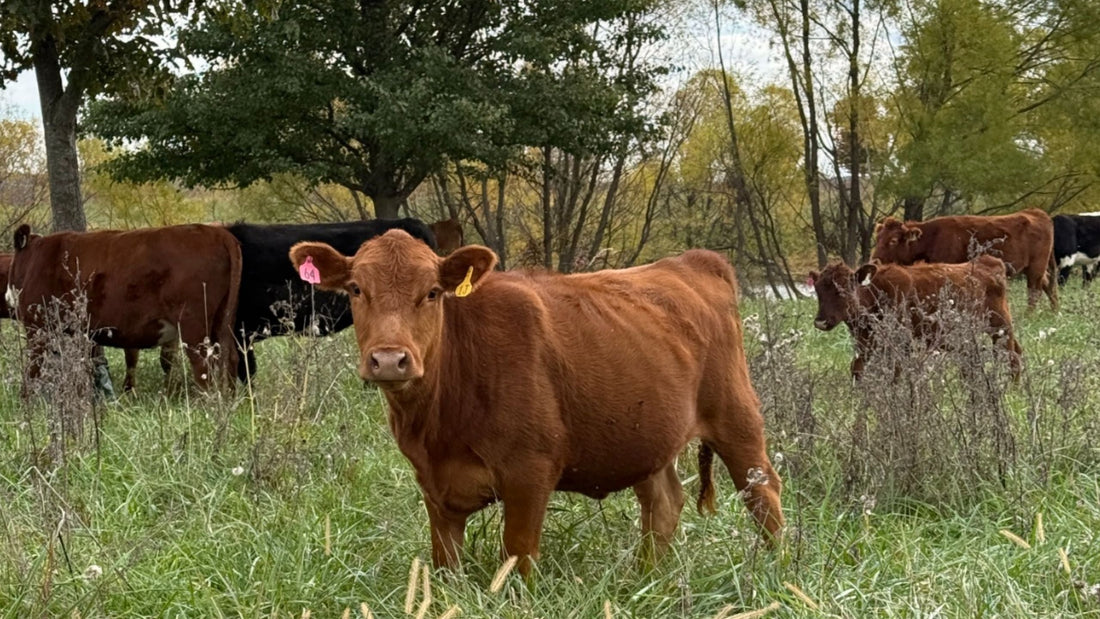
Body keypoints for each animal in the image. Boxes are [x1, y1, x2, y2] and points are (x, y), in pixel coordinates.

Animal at [7, 224, 242, 393]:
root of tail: (218, 233)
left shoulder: (38, 328)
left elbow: (33, 369)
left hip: (193, 326)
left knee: (203, 367)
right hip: (222, 321)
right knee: (230, 360)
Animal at [288, 230, 784, 576]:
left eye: (431, 292)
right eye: (356, 289)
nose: (390, 359)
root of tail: (693, 261)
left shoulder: (530, 473)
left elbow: (518, 557)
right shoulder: (433, 486)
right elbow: (445, 567)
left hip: (737, 416)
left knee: (764, 496)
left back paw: (778, 572)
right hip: (648, 436)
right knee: (663, 504)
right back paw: (646, 580)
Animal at [810, 256, 1023, 380]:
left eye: (842, 290)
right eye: (818, 290)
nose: (821, 321)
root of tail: (988, 261)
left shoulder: (900, 343)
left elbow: (896, 373)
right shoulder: (865, 343)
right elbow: (857, 368)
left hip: (1001, 327)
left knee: (1012, 357)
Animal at [871, 208, 1057, 312]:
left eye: (893, 240)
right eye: (877, 238)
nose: (874, 260)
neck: (932, 236)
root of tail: (1036, 212)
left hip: (1035, 269)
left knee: (1035, 291)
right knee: (1048, 285)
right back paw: (1055, 312)